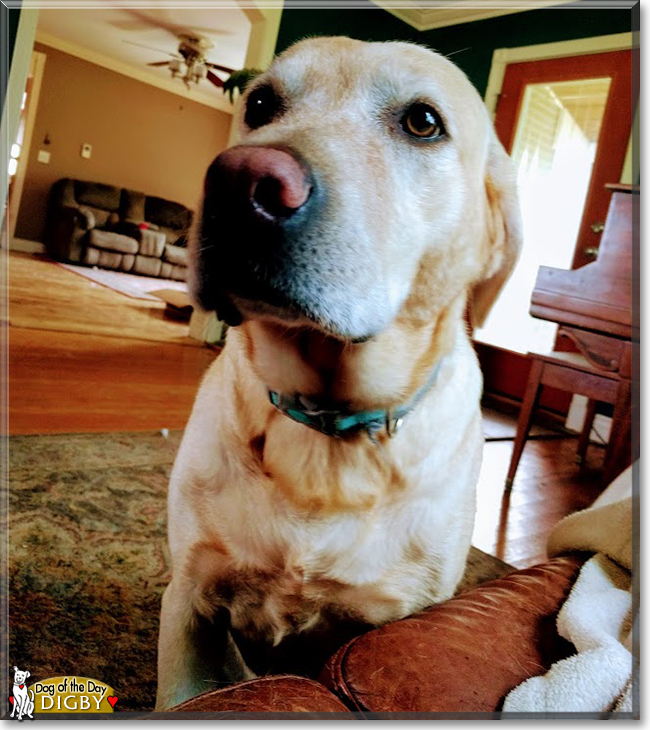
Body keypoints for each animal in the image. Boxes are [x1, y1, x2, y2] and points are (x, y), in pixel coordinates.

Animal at [157, 37, 520, 708]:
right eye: (261, 104)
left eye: (423, 122)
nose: (239, 181)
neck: (325, 428)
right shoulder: (190, 602)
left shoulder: (394, 620)